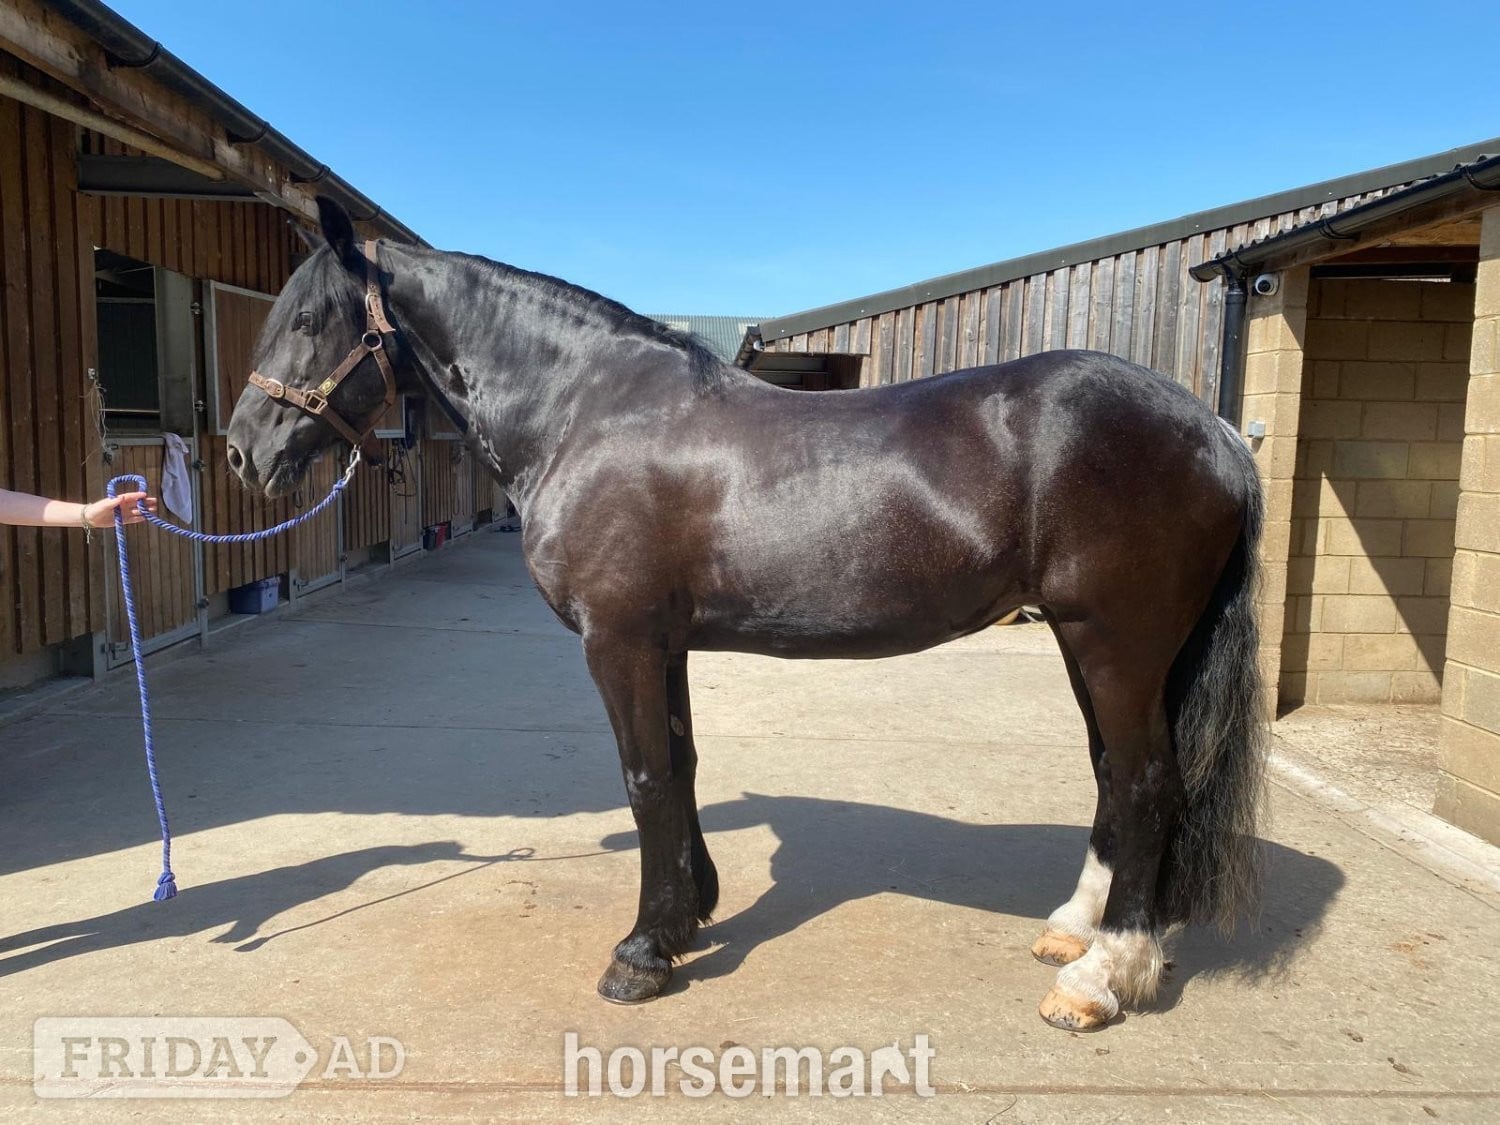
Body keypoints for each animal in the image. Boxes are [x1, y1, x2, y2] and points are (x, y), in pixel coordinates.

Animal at [226, 197, 1266, 1031]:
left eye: (312, 318)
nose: (242, 451)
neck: (588, 411)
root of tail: (1213, 429)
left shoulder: (619, 639)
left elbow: (644, 776)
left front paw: (642, 953)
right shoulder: (664, 641)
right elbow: (681, 765)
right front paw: (689, 912)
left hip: (1115, 643)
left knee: (1149, 783)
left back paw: (1100, 978)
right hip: (1094, 645)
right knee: (1114, 775)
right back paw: (1075, 933)